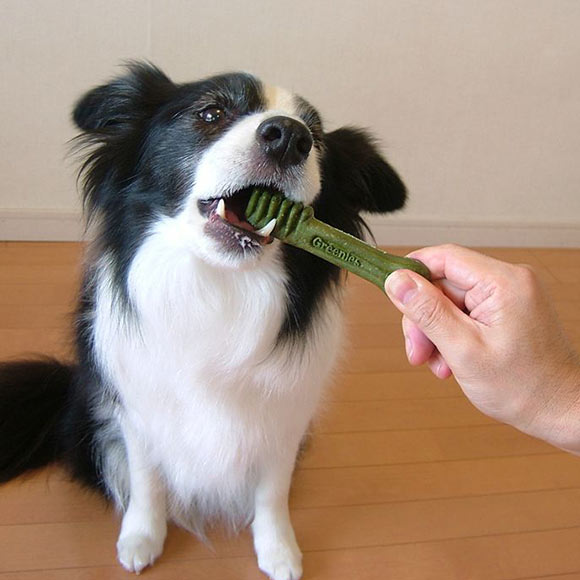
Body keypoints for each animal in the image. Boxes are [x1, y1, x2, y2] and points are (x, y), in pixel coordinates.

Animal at [0, 63, 408, 580]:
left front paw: (279, 551)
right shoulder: (138, 412)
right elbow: (146, 479)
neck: (218, 288)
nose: (288, 137)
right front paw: (141, 538)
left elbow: (272, 492)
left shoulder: (284, 418)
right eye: (211, 112)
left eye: (316, 140)